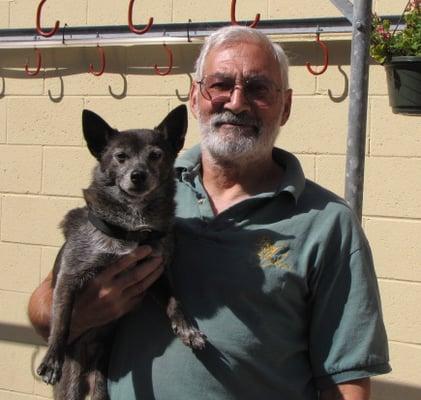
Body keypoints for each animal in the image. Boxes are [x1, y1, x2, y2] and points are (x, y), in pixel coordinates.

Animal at [37, 104, 205, 400]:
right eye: (120, 156)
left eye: (155, 155)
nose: (138, 175)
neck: (131, 227)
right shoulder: (69, 277)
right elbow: (63, 319)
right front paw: (52, 358)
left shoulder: (157, 275)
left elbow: (175, 301)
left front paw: (188, 330)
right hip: (70, 384)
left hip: (100, 382)